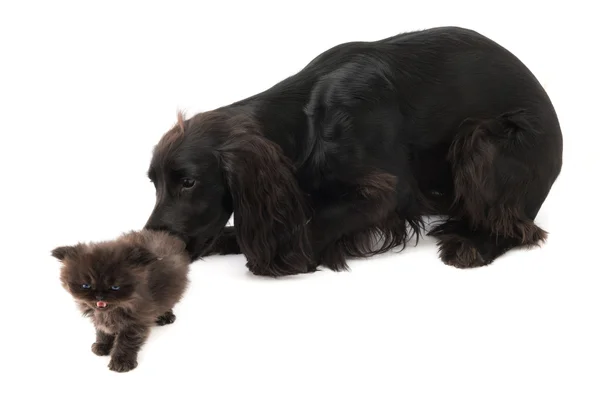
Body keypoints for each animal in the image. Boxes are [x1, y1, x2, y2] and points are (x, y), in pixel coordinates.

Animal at [53, 230, 191, 374]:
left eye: (115, 287)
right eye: (86, 286)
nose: (99, 295)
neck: (111, 312)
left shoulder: (137, 320)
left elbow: (126, 342)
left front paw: (121, 362)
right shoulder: (99, 316)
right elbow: (103, 331)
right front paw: (102, 345)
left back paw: (165, 316)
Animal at [144, 26, 564, 276]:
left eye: (188, 182)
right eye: (154, 183)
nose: (150, 249)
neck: (306, 123)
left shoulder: (385, 189)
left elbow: (317, 223)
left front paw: (281, 255)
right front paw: (234, 237)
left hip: (485, 140)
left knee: (519, 226)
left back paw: (472, 243)